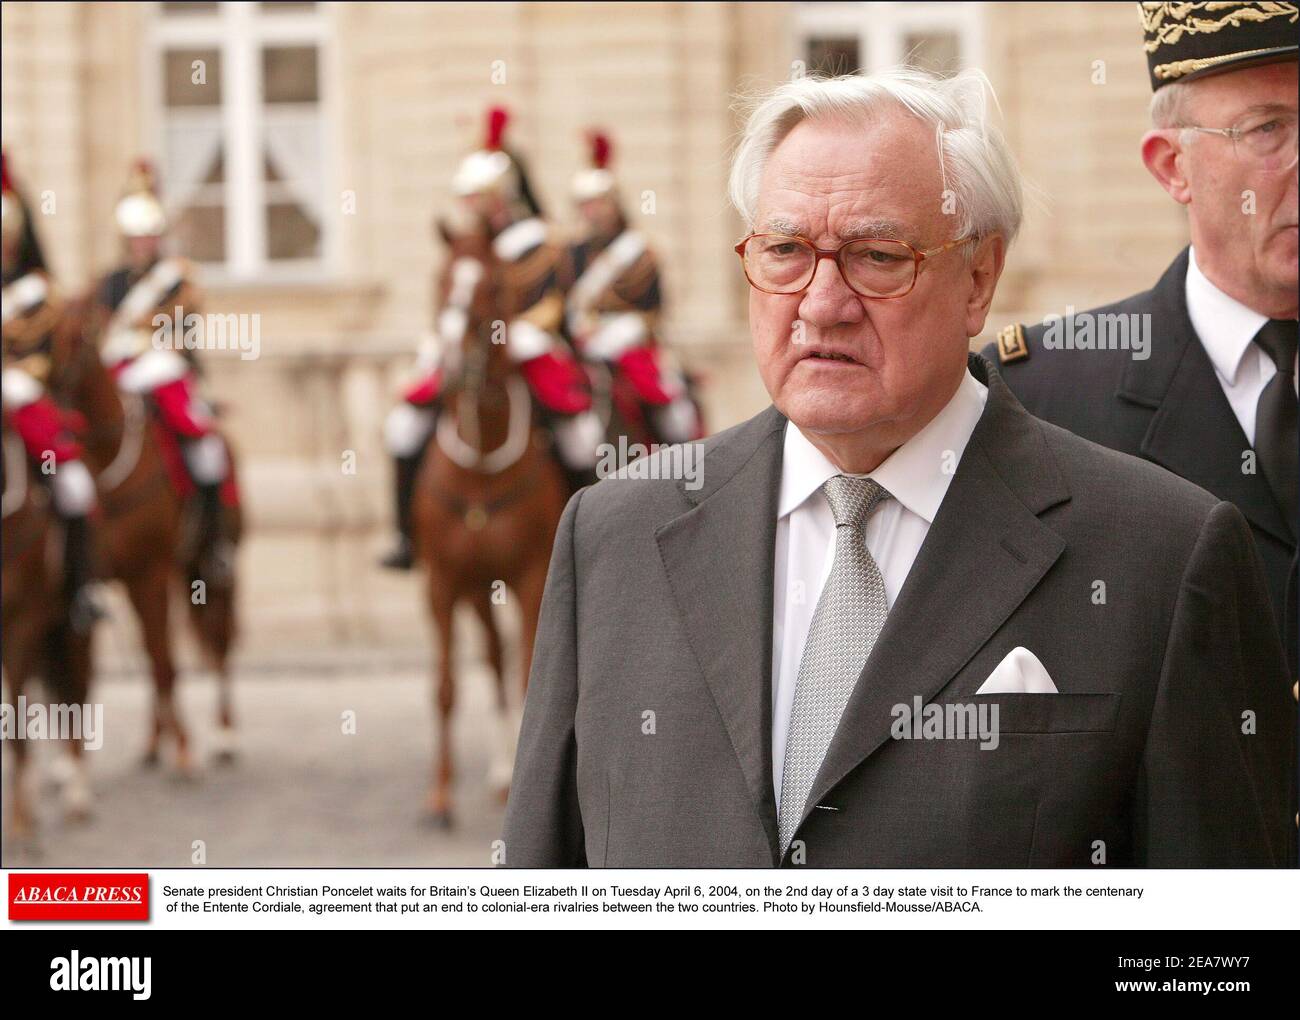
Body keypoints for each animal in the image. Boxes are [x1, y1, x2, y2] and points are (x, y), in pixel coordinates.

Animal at [408, 224, 566, 826]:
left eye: (494, 285)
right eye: (441, 279)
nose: (455, 367)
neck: (480, 463)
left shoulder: (534, 577)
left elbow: (530, 681)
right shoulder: (442, 582)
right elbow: (446, 688)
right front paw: (440, 795)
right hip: (477, 586)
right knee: (494, 660)